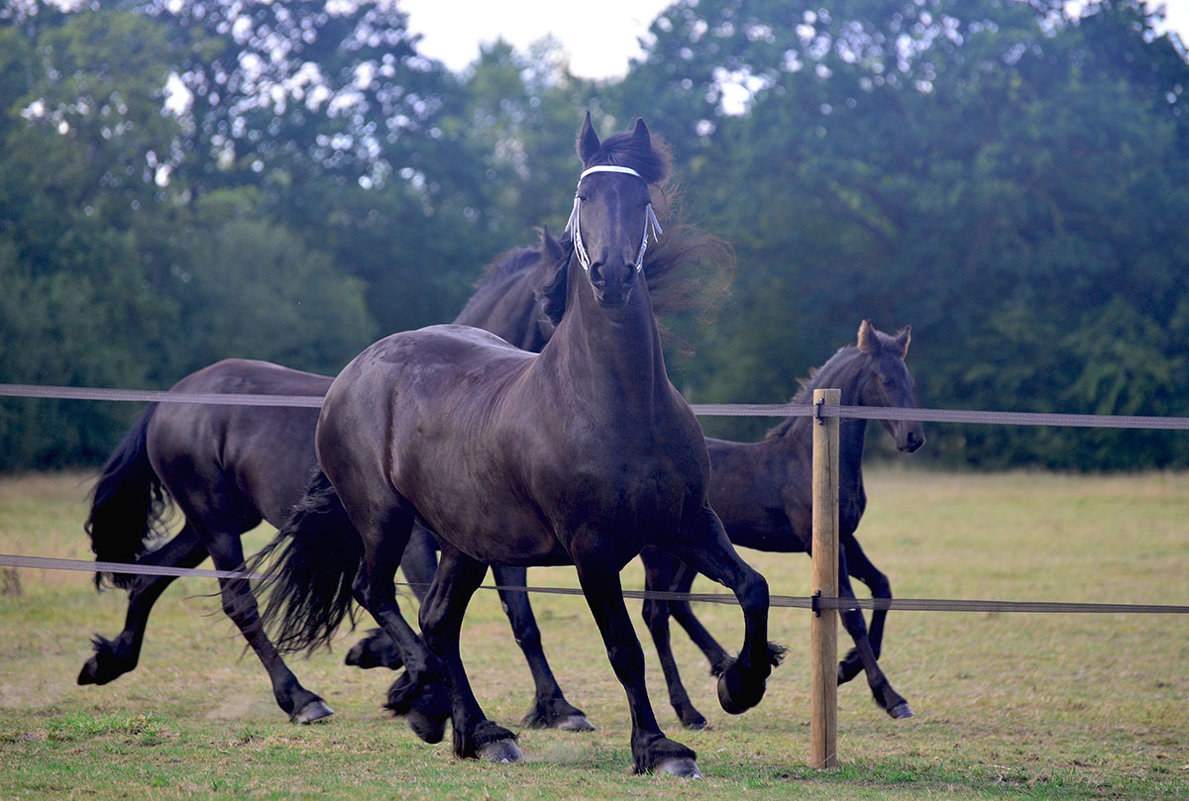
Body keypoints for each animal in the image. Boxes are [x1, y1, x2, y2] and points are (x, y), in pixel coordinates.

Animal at [79, 228, 589, 727]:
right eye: (555, 301)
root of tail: (171, 399)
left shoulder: (493, 540)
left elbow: (520, 619)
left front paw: (557, 708)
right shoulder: (412, 541)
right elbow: (425, 606)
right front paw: (404, 680)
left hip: (214, 523)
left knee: (150, 577)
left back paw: (108, 661)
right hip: (217, 523)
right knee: (239, 603)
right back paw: (301, 699)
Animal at [255, 114, 784, 774]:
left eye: (641, 199)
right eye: (584, 196)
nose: (612, 276)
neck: (617, 402)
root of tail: (352, 373)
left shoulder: (687, 523)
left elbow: (753, 588)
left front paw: (740, 684)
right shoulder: (592, 548)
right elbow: (624, 649)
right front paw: (658, 747)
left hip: (466, 541)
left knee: (437, 621)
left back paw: (480, 733)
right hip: (384, 519)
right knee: (376, 595)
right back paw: (432, 705)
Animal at [637, 318, 922, 722]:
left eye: (909, 379)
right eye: (886, 380)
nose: (913, 437)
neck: (812, 459)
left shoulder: (846, 537)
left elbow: (882, 588)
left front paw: (845, 668)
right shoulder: (818, 542)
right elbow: (851, 613)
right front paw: (891, 696)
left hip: (692, 551)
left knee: (677, 603)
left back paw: (724, 664)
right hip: (658, 553)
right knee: (656, 614)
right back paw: (689, 709)